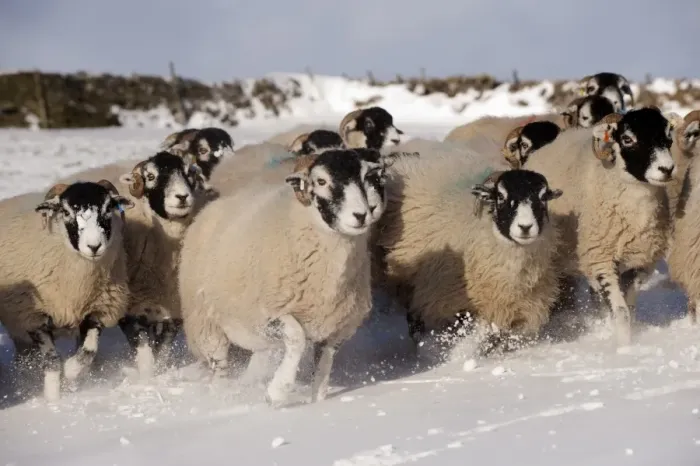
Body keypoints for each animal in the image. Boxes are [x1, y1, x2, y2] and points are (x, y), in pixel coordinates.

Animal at [0, 180, 134, 400]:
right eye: (66, 212)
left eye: (108, 208)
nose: (94, 246)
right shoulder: (32, 317)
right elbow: (52, 361)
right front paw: (53, 397)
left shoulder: (98, 309)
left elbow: (88, 350)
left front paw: (72, 370)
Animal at [114, 151, 206, 378]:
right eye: (150, 176)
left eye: (188, 172)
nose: (182, 197)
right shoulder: (132, 313)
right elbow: (144, 354)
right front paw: (146, 378)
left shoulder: (173, 314)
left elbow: (162, 351)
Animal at [179, 148, 389, 407]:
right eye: (321, 181)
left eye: (366, 178)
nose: (360, 215)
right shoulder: (268, 315)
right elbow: (297, 338)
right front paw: (277, 392)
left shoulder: (335, 330)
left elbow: (323, 367)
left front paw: (318, 401)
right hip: (206, 321)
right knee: (219, 366)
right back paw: (221, 397)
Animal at [523, 108, 676, 347]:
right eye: (627, 139)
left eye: (669, 137)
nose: (667, 169)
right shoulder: (600, 259)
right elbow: (621, 311)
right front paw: (624, 347)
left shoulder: (640, 262)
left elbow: (628, 307)